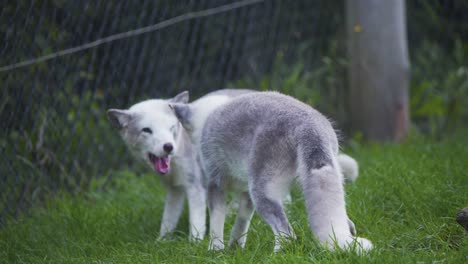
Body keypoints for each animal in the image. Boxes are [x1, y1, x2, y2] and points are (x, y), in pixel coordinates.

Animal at [170, 92, 372, 253]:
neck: (208, 116)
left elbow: (216, 220)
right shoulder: (246, 193)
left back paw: (275, 254)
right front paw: (234, 248)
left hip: (262, 192)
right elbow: (242, 222)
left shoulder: (216, 183)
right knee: (346, 222)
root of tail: (308, 124)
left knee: (287, 233)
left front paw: (215, 250)